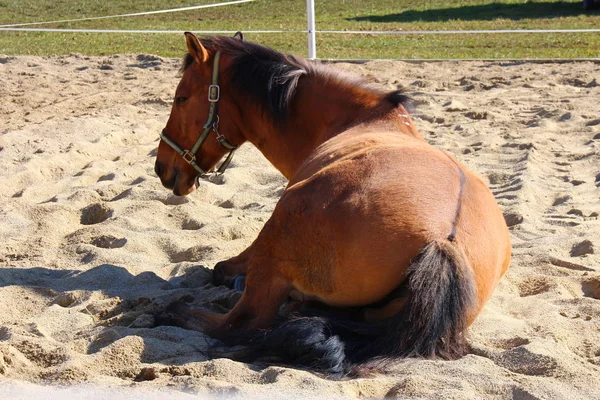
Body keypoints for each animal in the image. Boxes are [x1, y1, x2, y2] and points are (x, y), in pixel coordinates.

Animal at [155, 32, 510, 376]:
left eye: (181, 97)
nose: (161, 167)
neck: (358, 119)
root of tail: (443, 242)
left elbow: (220, 270)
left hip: (276, 237)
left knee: (238, 323)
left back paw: (176, 311)